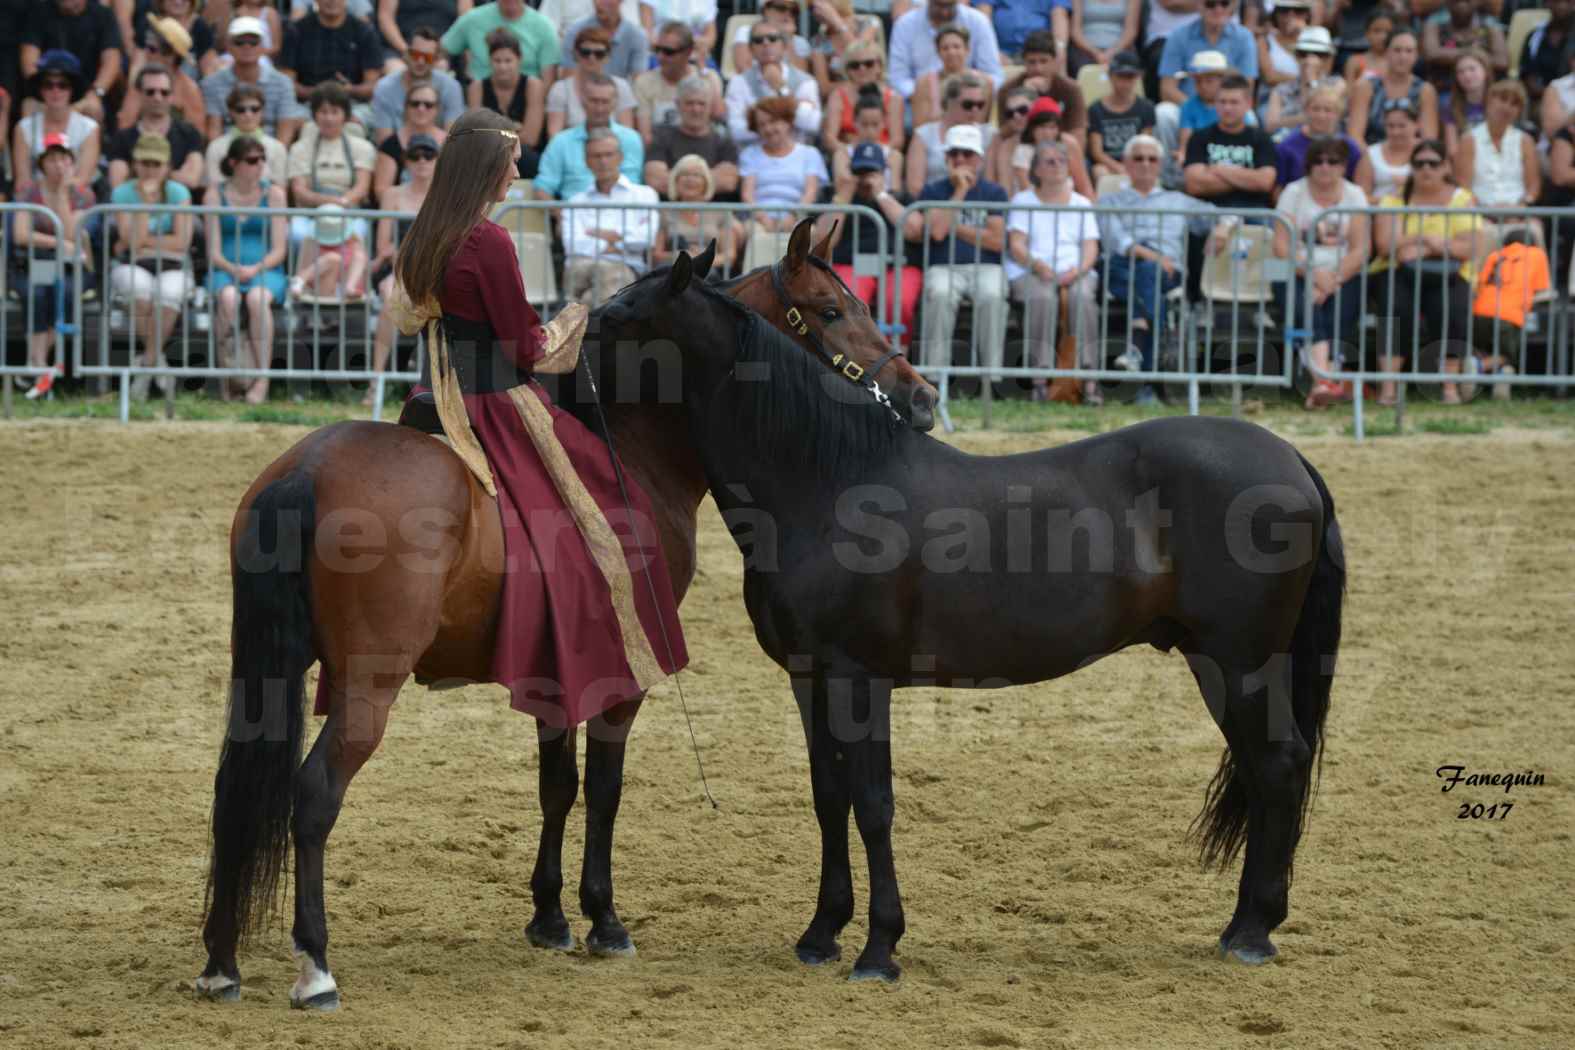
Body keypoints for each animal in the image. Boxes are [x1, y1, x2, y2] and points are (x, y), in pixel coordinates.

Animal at [196, 215, 932, 1007]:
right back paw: (315, 966)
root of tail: (306, 470)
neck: (628, 449)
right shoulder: (620, 672)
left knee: (238, 789)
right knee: (313, 794)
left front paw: (548, 916)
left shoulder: (552, 665)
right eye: (830, 310)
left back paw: (221, 961)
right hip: (368, 686)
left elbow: (557, 784)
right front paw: (603, 919)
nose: (920, 397)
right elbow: (604, 787)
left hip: (265, 673)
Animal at [595, 251, 1348, 988]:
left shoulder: (858, 680)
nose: (572, 368)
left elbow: (873, 803)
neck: (829, 483)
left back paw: (1251, 933)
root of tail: (1291, 459)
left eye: (620, 316)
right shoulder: (810, 680)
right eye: (831, 309)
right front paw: (821, 934)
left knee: (1277, 766)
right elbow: (828, 797)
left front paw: (879, 949)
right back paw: (1245, 925)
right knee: (1264, 769)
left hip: (1239, 662)